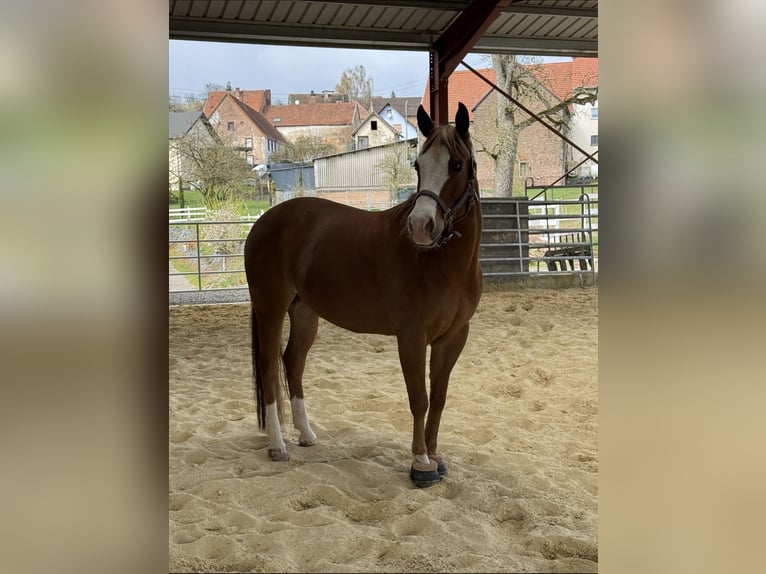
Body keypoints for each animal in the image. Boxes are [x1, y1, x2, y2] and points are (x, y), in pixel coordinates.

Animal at [243, 102, 482, 487]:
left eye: (458, 165)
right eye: (418, 165)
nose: (420, 226)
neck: (442, 265)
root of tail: (264, 221)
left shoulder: (454, 337)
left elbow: (439, 398)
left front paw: (435, 456)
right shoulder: (412, 336)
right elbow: (419, 399)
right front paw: (420, 463)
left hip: (305, 312)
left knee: (292, 363)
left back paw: (306, 434)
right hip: (270, 309)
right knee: (268, 369)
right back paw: (277, 446)